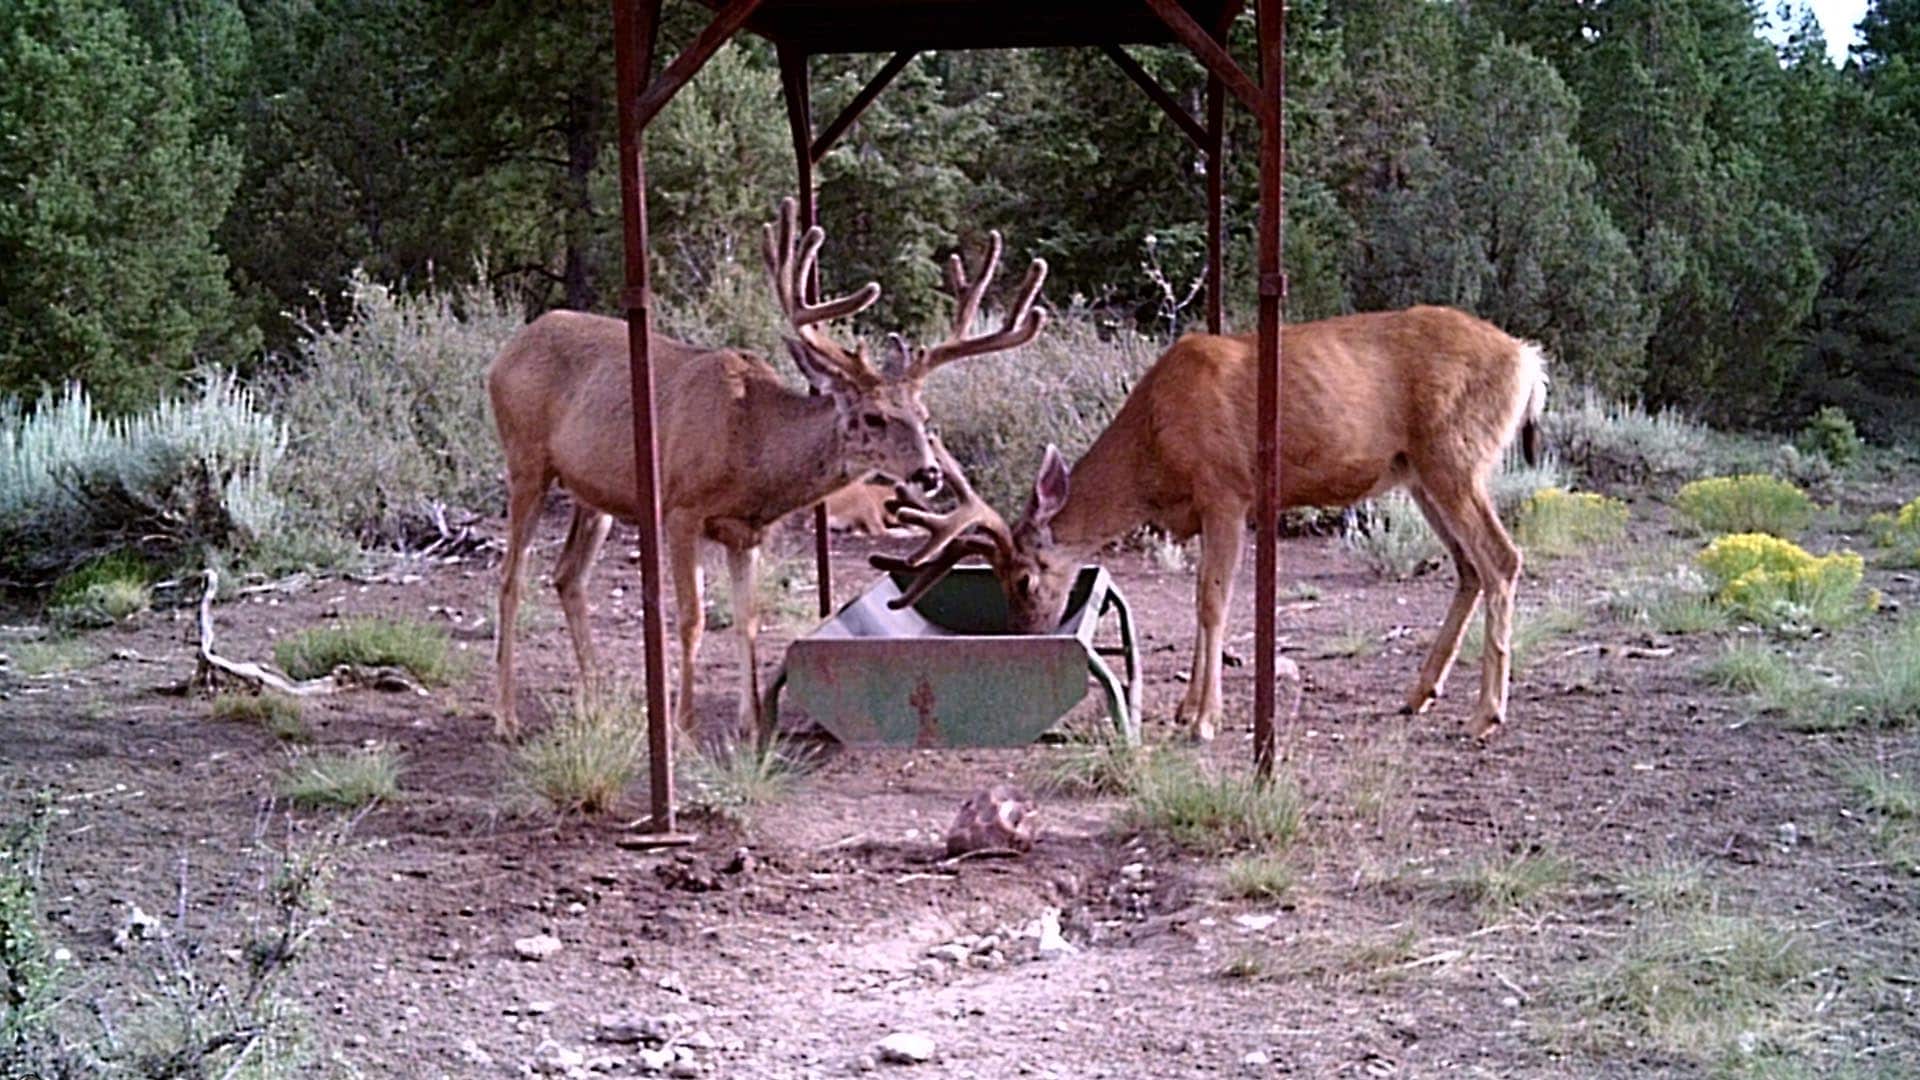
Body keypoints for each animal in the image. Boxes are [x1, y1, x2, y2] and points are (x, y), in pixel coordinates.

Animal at [487, 199, 1048, 744]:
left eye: (924, 417)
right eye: (873, 417)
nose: (929, 474)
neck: (751, 445)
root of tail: (508, 349)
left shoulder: (747, 532)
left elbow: (748, 620)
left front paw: (752, 723)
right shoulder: (680, 509)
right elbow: (692, 619)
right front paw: (683, 730)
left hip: (595, 496)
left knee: (568, 576)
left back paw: (596, 703)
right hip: (526, 461)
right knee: (511, 578)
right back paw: (507, 718)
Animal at [879, 305, 1548, 742]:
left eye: (1022, 577)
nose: (1025, 636)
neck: (1154, 451)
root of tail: (1527, 359)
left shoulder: (1228, 490)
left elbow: (1212, 600)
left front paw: (1203, 720)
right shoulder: (1206, 509)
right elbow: (1203, 602)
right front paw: (1185, 709)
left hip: (1454, 455)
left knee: (1503, 558)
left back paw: (1485, 716)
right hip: (1418, 472)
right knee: (1468, 566)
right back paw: (1418, 696)